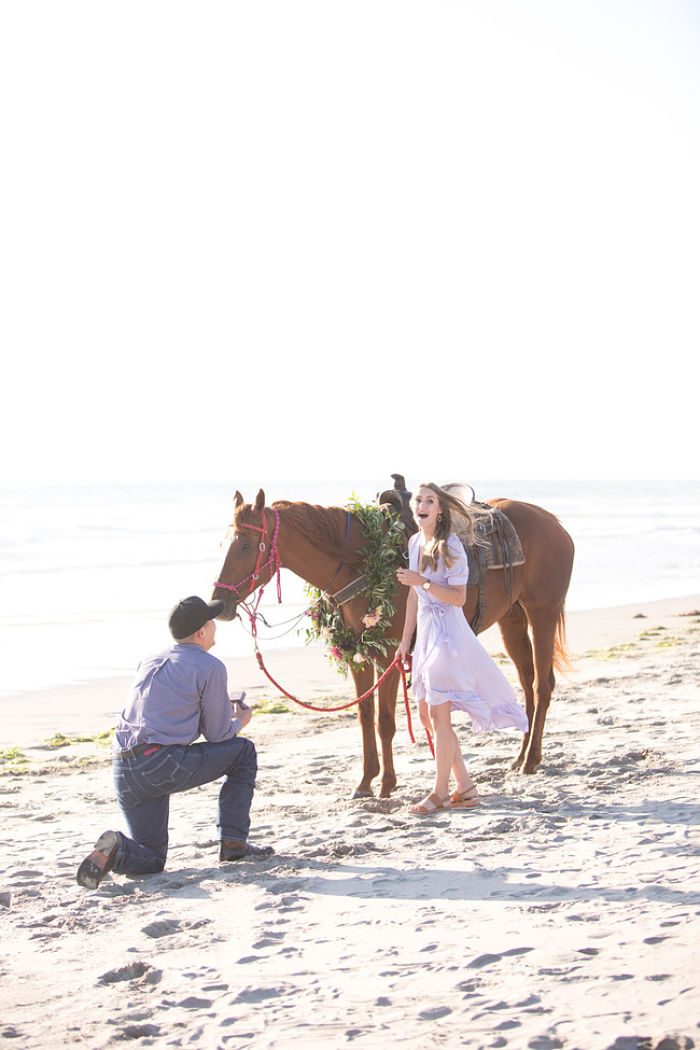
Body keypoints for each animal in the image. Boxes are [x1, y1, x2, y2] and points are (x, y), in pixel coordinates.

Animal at [214, 487, 575, 797]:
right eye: (225, 544)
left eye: (246, 545)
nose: (218, 603)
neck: (359, 561)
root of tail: (554, 523)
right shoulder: (357, 653)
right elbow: (364, 717)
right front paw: (365, 781)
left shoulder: (388, 654)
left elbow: (384, 721)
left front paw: (386, 784)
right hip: (512, 620)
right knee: (527, 685)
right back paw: (521, 756)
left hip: (542, 614)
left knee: (542, 685)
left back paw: (531, 759)